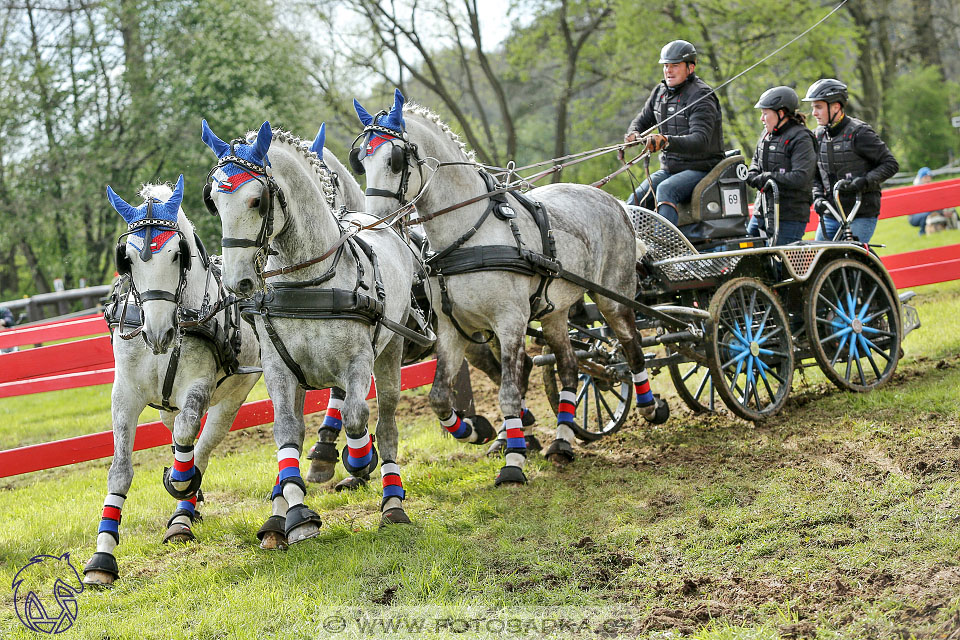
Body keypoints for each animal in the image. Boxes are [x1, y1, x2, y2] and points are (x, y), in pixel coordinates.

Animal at [82, 175, 260, 584]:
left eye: (178, 254)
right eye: (128, 259)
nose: (159, 332)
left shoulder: (199, 386)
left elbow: (186, 439)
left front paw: (181, 485)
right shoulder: (124, 395)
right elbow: (120, 471)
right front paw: (102, 558)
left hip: (233, 395)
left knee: (202, 444)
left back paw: (183, 514)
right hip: (166, 404)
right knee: (177, 429)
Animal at [202, 120, 420, 540]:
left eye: (257, 200)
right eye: (214, 202)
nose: (238, 281)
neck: (308, 281)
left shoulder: (358, 360)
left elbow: (355, 416)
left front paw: (357, 461)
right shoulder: (280, 370)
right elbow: (287, 433)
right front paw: (297, 515)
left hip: (390, 352)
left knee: (386, 423)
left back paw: (392, 501)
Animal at [350, 91, 668, 484]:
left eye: (394, 160)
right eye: (361, 159)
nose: (372, 223)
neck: (471, 233)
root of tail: (618, 203)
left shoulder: (510, 323)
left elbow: (509, 393)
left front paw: (513, 463)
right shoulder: (452, 328)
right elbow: (439, 396)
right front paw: (477, 430)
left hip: (614, 296)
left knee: (632, 345)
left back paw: (650, 406)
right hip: (554, 312)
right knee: (568, 367)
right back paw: (561, 443)